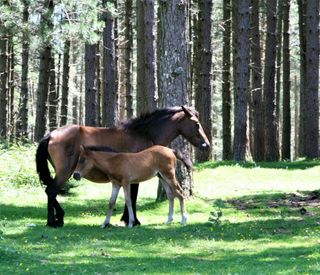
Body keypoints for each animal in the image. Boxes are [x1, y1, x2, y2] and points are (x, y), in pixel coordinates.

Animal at [35, 106, 210, 227]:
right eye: (196, 124)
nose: (206, 145)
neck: (144, 134)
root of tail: (51, 135)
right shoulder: (133, 178)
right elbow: (132, 197)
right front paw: (132, 220)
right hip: (65, 172)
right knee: (51, 191)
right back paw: (53, 221)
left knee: (50, 191)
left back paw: (58, 217)